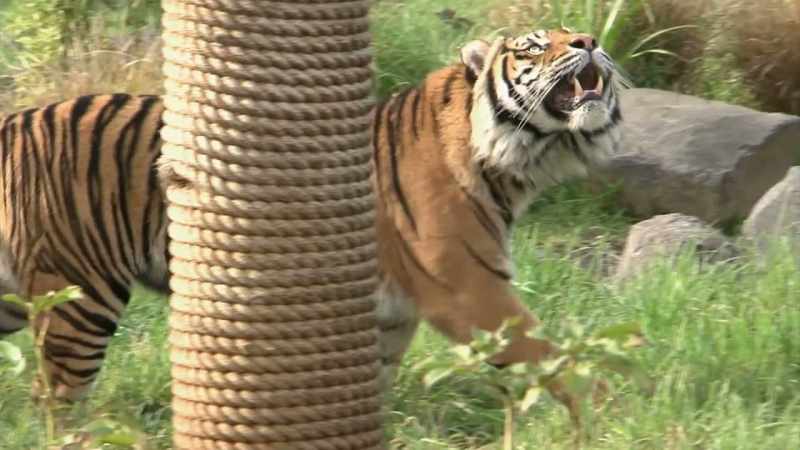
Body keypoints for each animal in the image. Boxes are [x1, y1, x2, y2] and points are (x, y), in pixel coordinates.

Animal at [0, 28, 626, 411]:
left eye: (574, 32)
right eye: (535, 46)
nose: (591, 41)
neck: (514, 164)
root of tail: (13, 123)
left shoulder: (392, 314)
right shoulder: (471, 290)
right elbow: (548, 355)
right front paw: (609, 404)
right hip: (78, 294)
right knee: (57, 401)